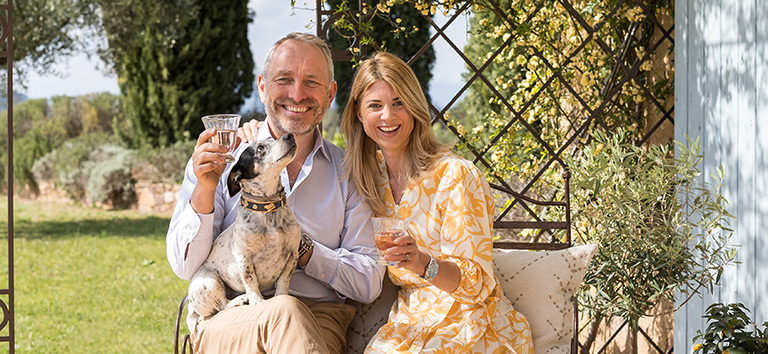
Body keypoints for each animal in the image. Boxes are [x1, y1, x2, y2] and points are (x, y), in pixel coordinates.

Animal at [188, 131, 302, 320]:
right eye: (260, 148)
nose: (289, 136)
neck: (267, 209)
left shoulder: (293, 253)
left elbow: (284, 279)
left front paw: (281, 295)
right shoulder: (244, 258)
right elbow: (250, 280)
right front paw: (257, 301)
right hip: (209, 281)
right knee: (221, 305)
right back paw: (238, 300)